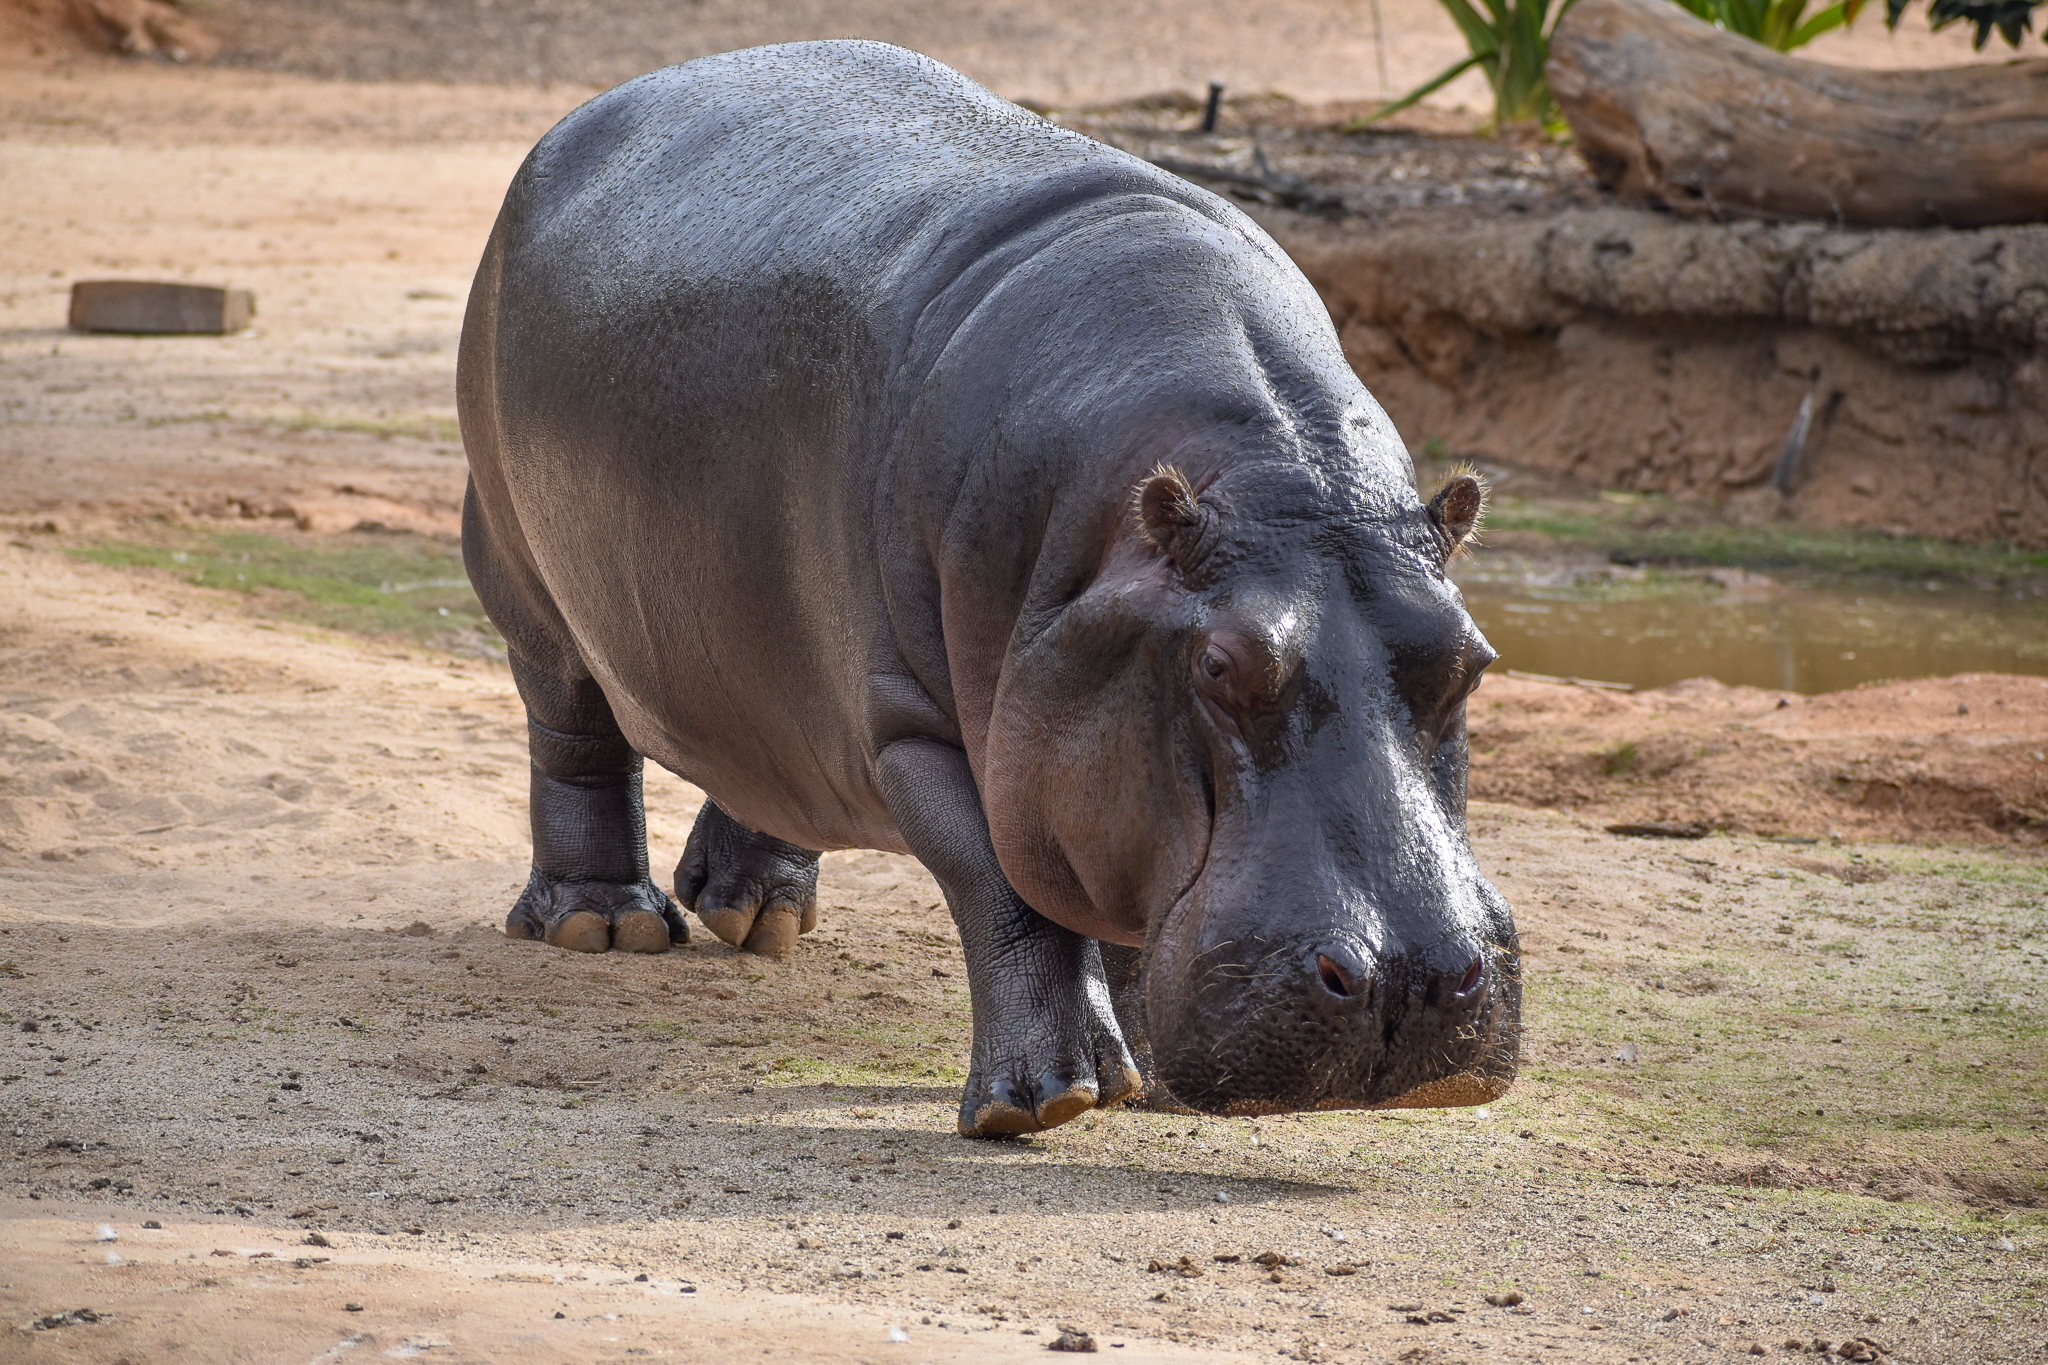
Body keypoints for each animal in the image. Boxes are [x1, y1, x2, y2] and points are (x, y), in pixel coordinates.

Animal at [457, 40, 1520, 1137]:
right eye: (1219, 666)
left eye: (1472, 659)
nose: (1408, 982)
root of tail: (597, 108)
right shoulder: (920, 729)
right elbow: (1006, 892)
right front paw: (1045, 1101)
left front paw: (1144, 1075)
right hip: (525, 586)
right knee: (575, 736)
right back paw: (604, 926)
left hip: (766, 646)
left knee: (770, 748)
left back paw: (756, 916)